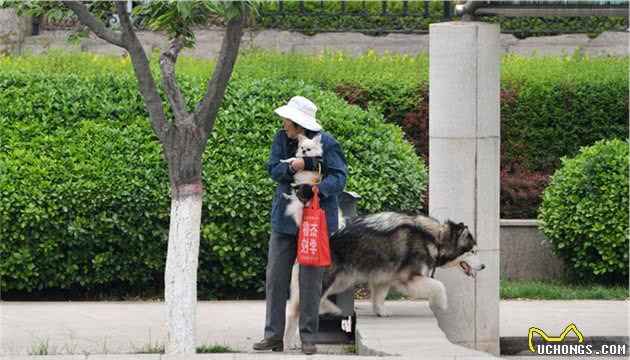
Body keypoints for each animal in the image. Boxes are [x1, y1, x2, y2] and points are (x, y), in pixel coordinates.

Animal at [286, 211, 488, 346]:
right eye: (472, 251)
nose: (484, 266)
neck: (435, 239)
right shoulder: (408, 279)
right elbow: (438, 285)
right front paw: (442, 304)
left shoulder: (384, 277)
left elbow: (379, 296)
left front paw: (380, 311)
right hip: (326, 279)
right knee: (294, 309)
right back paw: (291, 340)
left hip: (341, 280)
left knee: (314, 300)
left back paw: (328, 307)